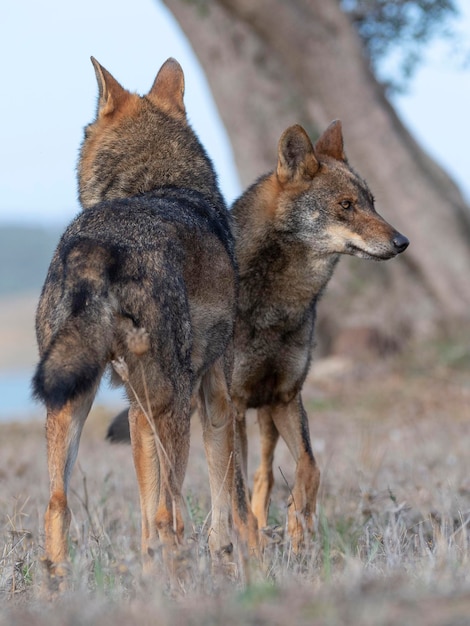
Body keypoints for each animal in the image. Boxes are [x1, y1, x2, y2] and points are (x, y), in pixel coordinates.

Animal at [32, 58, 255, 576]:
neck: (159, 183)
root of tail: (100, 243)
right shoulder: (214, 400)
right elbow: (225, 505)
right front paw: (232, 563)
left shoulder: (137, 408)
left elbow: (148, 522)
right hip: (172, 407)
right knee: (169, 516)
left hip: (71, 402)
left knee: (59, 506)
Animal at [108, 120, 410, 552]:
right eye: (346, 205)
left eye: (372, 203)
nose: (402, 242)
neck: (278, 305)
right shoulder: (232, 406)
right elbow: (234, 493)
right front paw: (255, 546)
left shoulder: (286, 397)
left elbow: (309, 468)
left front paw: (299, 529)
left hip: (266, 414)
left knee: (264, 474)